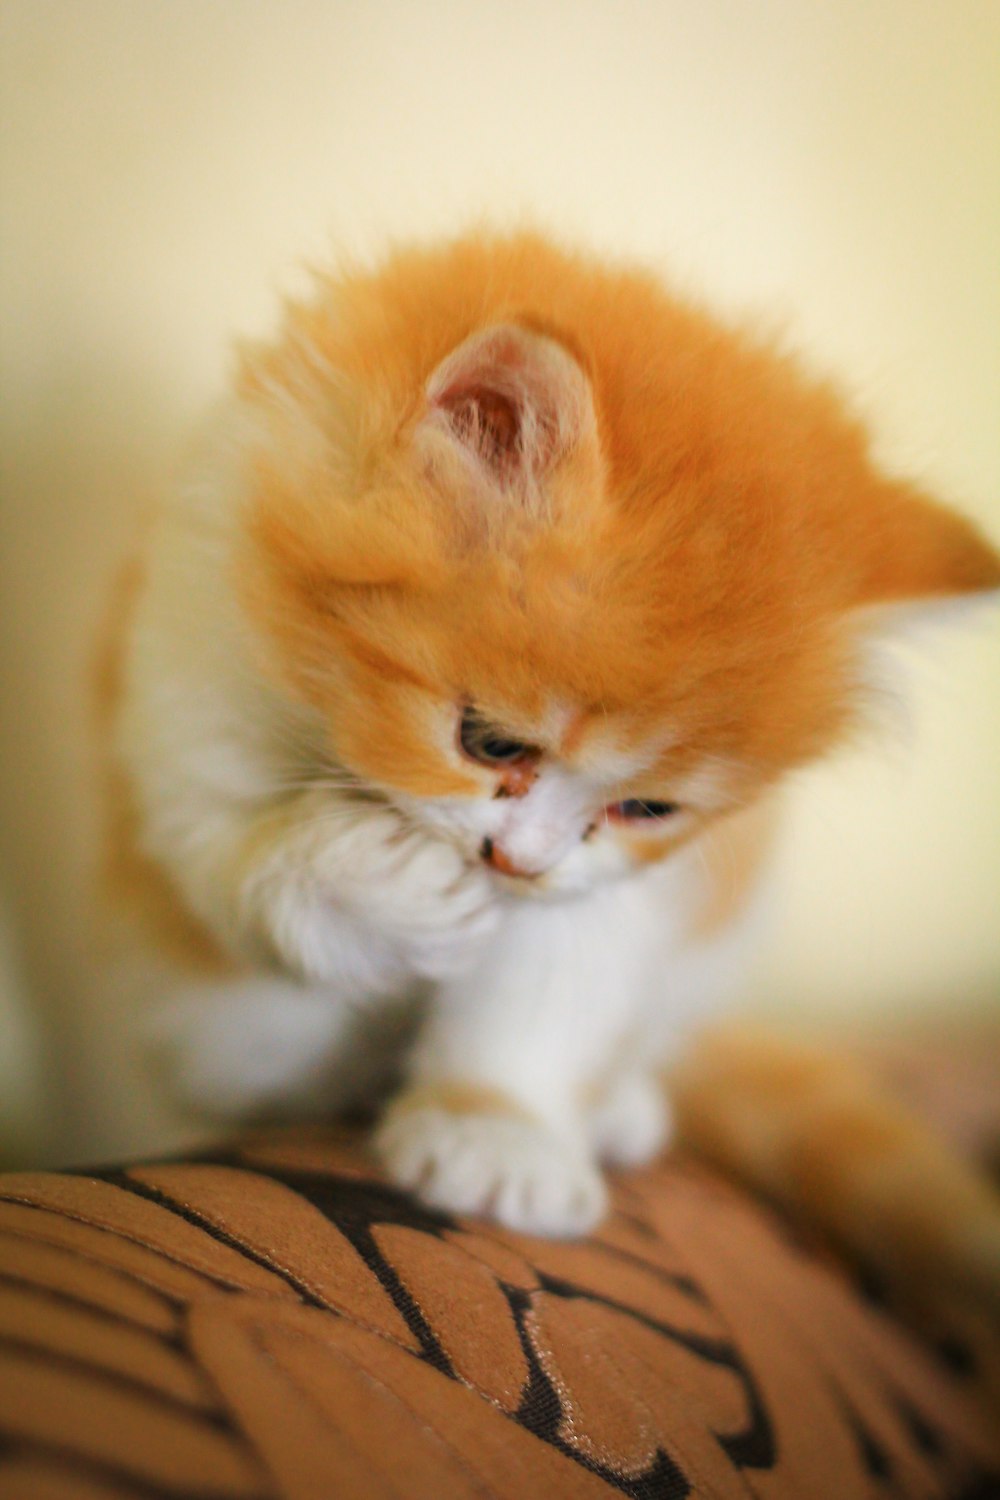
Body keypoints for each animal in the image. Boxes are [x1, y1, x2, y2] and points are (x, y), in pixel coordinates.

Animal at [105, 228, 995, 1296]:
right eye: (492, 742)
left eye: (647, 810)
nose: (517, 863)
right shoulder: (189, 682)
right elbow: (237, 870)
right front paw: (371, 881)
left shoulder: (630, 894)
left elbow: (550, 983)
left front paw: (497, 1137)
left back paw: (615, 1108)